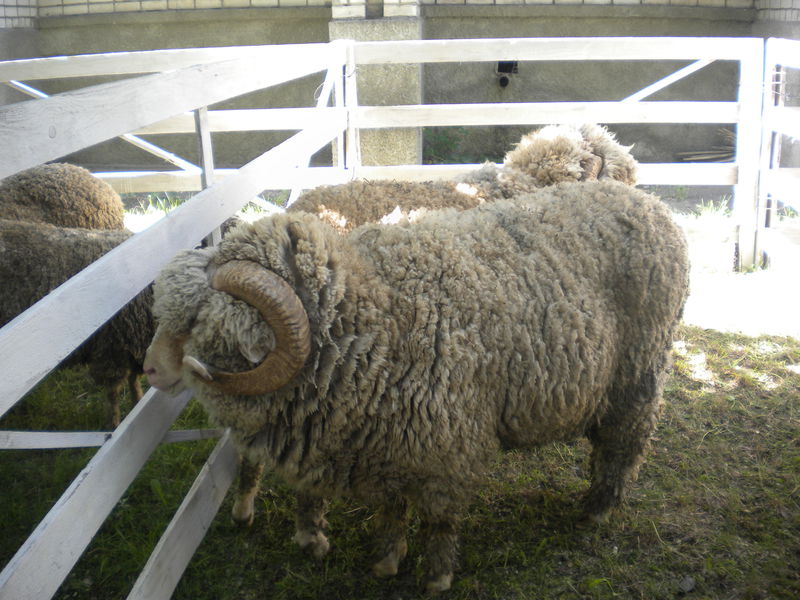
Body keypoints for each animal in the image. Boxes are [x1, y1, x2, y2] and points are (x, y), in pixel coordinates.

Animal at [0, 219, 155, 426]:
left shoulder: (134, 346)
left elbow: (133, 381)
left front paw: (137, 403)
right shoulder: (111, 351)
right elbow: (113, 393)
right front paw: (115, 423)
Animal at [142, 180, 688, 592]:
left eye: (197, 322)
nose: (148, 371)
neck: (374, 317)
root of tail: (652, 203)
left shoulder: (449, 446)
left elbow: (441, 517)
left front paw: (437, 577)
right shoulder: (393, 443)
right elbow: (392, 507)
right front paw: (387, 561)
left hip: (639, 373)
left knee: (626, 441)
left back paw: (599, 508)